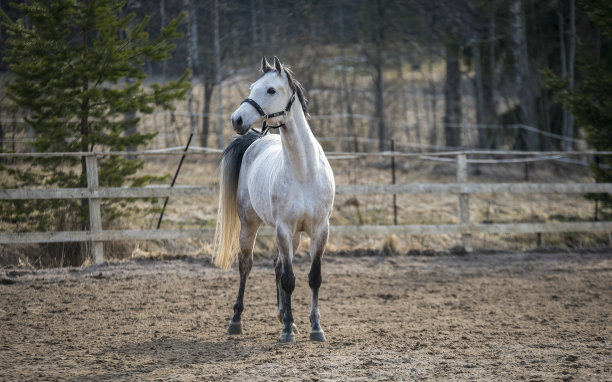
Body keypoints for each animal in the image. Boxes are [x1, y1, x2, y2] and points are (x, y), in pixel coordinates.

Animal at [212, 56, 334, 344]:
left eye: (270, 90)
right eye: (251, 87)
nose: (237, 119)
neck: (304, 171)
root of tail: (255, 141)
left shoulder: (319, 230)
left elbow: (313, 277)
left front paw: (315, 328)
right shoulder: (283, 229)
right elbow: (289, 280)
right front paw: (287, 331)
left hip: (295, 236)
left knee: (278, 265)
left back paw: (284, 316)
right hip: (250, 225)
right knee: (246, 266)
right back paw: (236, 322)